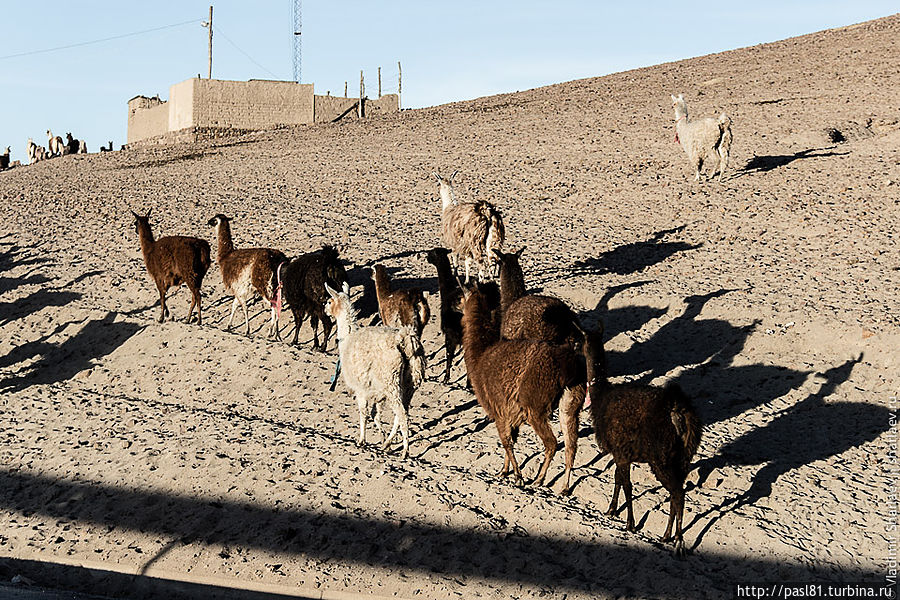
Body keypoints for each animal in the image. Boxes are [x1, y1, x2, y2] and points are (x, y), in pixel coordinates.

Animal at [324, 282, 426, 459]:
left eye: (329, 301)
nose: (325, 309)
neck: (347, 339)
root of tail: (406, 340)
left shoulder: (361, 388)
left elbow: (363, 413)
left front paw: (361, 441)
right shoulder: (378, 393)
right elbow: (376, 415)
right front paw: (382, 438)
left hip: (392, 381)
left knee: (402, 414)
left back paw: (405, 451)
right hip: (410, 382)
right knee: (402, 413)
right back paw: (388, 444)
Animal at [461, 282, 585, 495]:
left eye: (460, 295)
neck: (479, 359)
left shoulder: (498, 409)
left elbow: (506, 442)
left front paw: (517, 477)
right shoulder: (510, 412)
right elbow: (510, 441)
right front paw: (504, 471)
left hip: (536, 405)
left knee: (552, 443)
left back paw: (539, 479)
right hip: (570, 402)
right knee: (571, 445)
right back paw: (564, 487)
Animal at [583, 327, 702, 556]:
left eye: (580, 341)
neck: (600, 396)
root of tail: (679, 414)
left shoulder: (621, 451)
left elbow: (627, 484)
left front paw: (630, 523)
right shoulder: (620, 452)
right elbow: (618, 479)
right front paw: (611, 510)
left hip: (661, 457)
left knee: (678, 493)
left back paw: (678, 541)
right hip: (684, 456)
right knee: (676, 492)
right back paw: (666, 535)